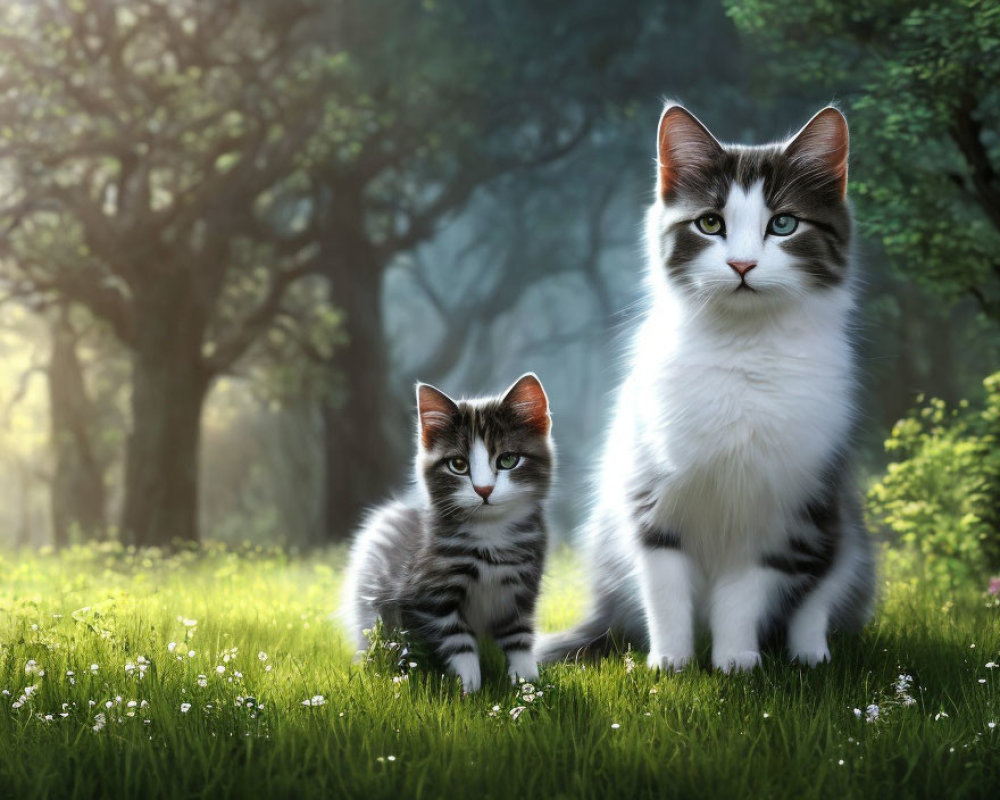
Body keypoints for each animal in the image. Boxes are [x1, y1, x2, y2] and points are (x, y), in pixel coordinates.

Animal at [340, 372, 552, 692]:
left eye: (507, 460)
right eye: (458, 465)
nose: (484, 490)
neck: (491, 534)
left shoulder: (522, 586)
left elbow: (519, 634)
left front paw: (528, 681)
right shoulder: (429, 595)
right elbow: (457, 638)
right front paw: (468, 684)